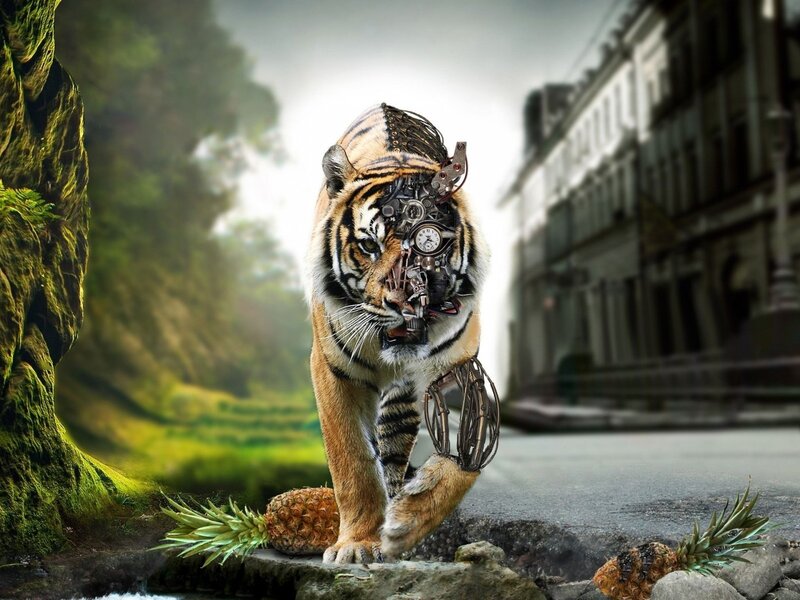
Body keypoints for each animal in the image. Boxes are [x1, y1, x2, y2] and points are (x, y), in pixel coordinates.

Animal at [307, 103, 489, 564]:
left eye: (429, 243)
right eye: (369, 246)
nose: (405, 302)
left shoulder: (460, 370)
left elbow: (463, 458)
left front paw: (407, 522)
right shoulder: (333, 371)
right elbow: (352, 460)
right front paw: (356, 543)